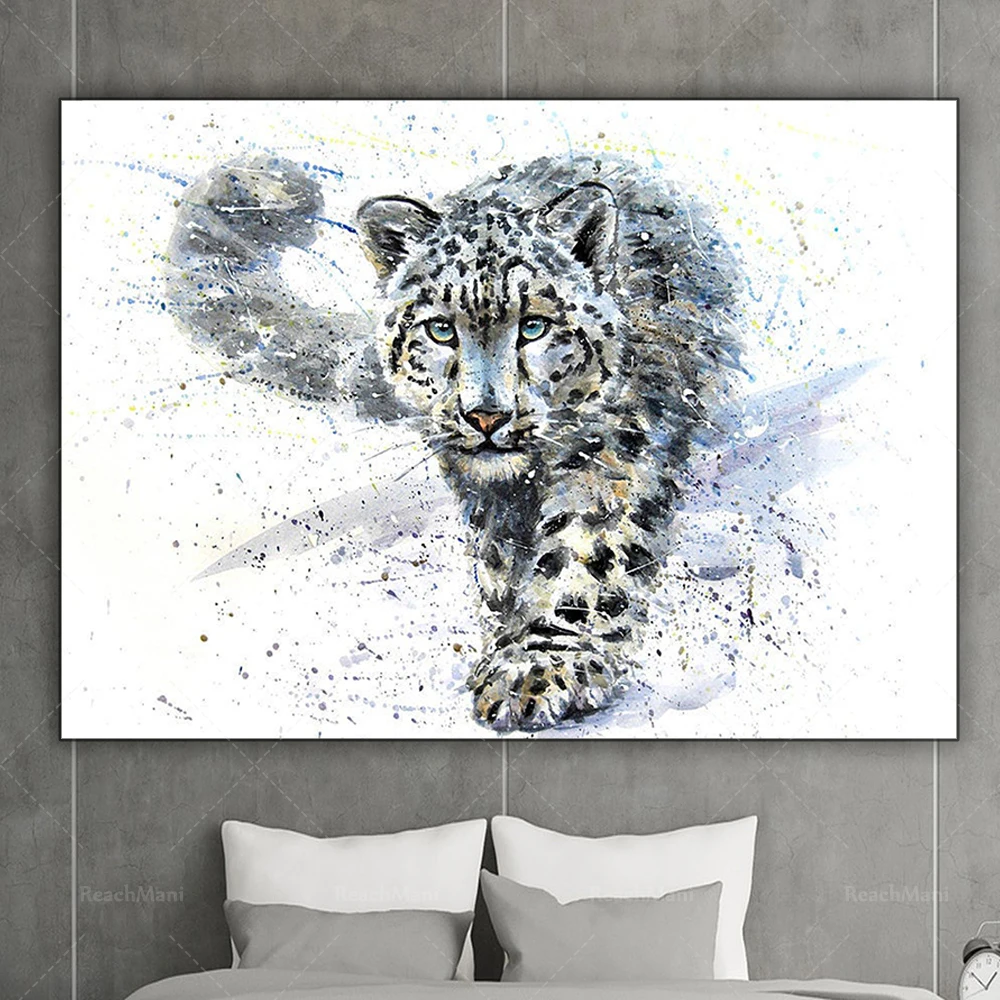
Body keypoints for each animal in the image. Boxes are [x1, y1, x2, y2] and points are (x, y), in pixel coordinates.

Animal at [164, 152, 745, 732]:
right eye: (440, 329)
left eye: (534, 326)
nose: (486, 415)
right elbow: (503, 558)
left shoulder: (610, 455)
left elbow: (583, 554)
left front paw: (538, 663)